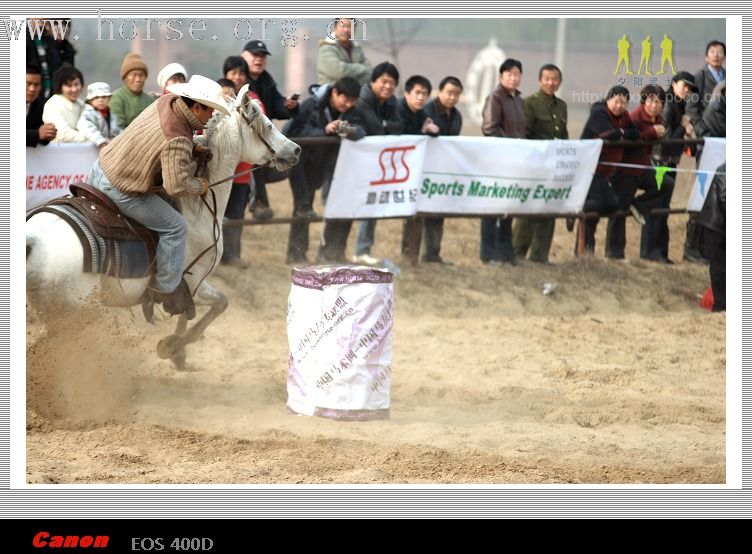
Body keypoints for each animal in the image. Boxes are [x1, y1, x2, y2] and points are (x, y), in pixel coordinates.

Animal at [27, 85, 302, 366]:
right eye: (268, 125)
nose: (296, 149)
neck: (195, 208)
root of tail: (33, 241)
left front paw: (177, 349)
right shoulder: (193, 281)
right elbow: (216, 304)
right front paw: (174, 346)